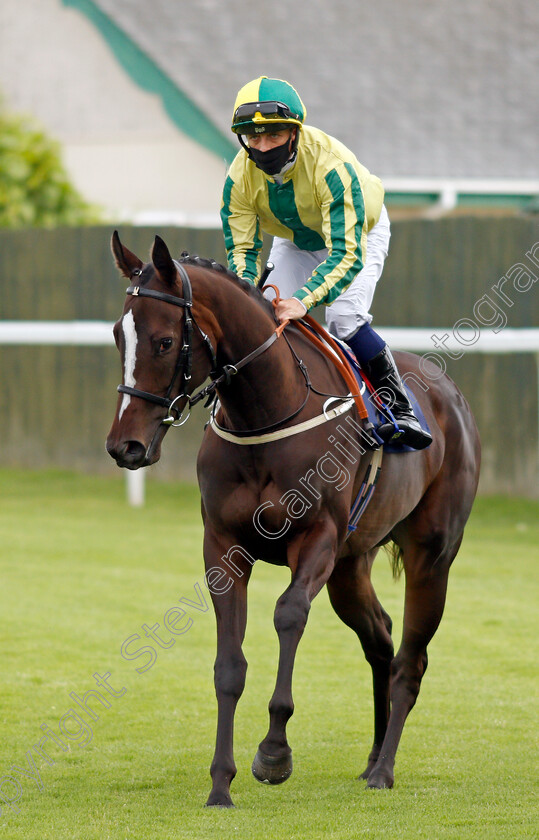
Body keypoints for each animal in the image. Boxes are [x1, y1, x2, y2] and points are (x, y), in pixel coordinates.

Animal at [105, 231, 480, 808]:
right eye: (118, 338)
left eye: (165, 342)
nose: (125, 445)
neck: (266, 413)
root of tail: (450, 393)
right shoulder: (223, 548)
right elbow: (229, 666)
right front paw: (221, 783)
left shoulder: (317, 538)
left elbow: (288, 615)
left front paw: (274, 753)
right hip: (350, 566)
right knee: (380, 637)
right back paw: (372, 756)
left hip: (431, 556)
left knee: (410, 659)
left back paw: (383, 770)